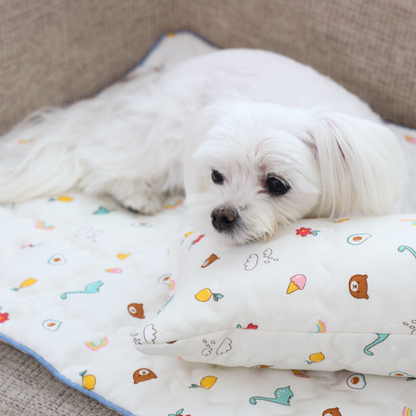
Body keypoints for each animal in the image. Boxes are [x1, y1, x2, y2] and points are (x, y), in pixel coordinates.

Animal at [0, 49, 408, 244]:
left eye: (277, 184)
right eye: (216, 176)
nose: (221, 215)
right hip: (167, 135)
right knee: (94, 160)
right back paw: (136, 194)